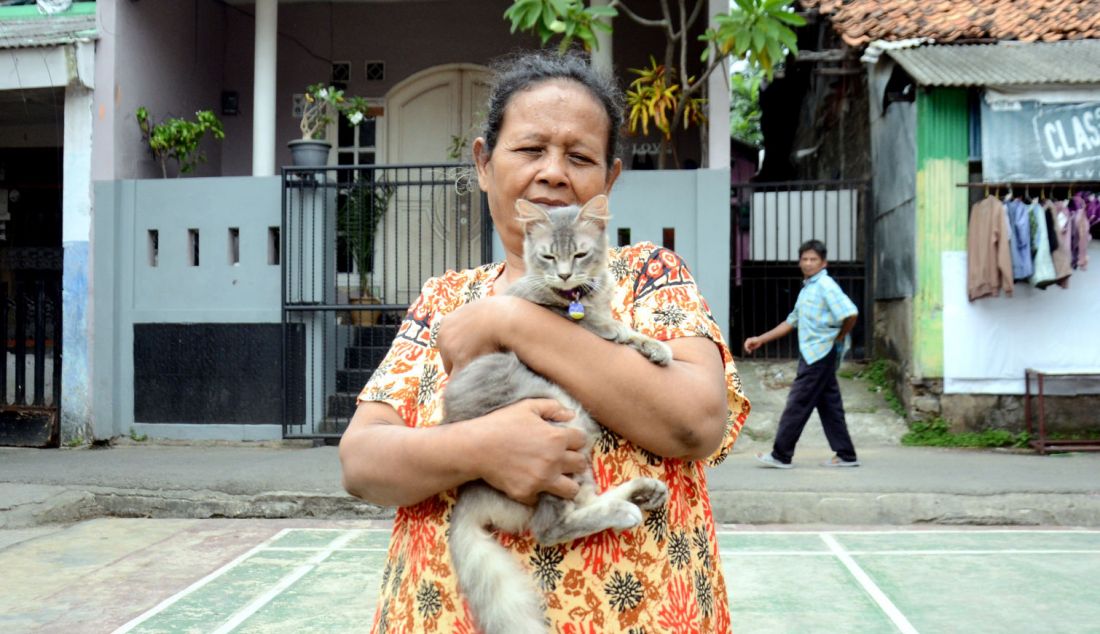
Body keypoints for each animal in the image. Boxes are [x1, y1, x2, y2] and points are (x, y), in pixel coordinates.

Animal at [440, 194, 668, 634]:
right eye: (548, 256)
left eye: (579, 254)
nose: (563, 276)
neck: (579, 293)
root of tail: (469, 493)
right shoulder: (535, 304)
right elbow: (583, 321)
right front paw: (608, 327)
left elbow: (632, 333)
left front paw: (655, 347)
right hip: (562, 425)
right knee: (550, 527)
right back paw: (626, 508)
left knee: (584, 503)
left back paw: (640, 493)